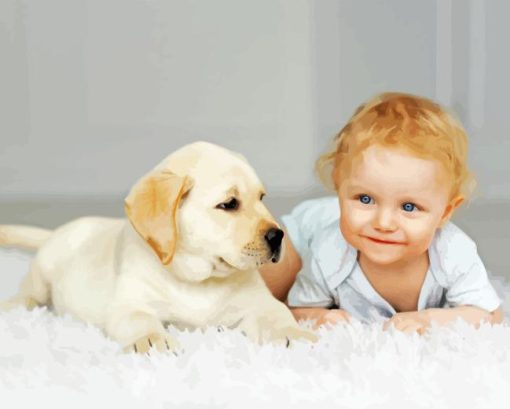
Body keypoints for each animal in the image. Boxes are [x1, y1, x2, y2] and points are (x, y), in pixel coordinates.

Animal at [0, 140, 316, 350]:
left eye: (261, 198)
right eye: (229, 204)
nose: (278, 236)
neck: (199, 281)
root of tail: (55, 232)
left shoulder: (258, 303)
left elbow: (278, 313)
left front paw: (296, 334)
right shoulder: (130, 304)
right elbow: (139, 319)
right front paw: (152, 340)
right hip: (43, 273)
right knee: (31, 293)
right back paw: (15, 304)